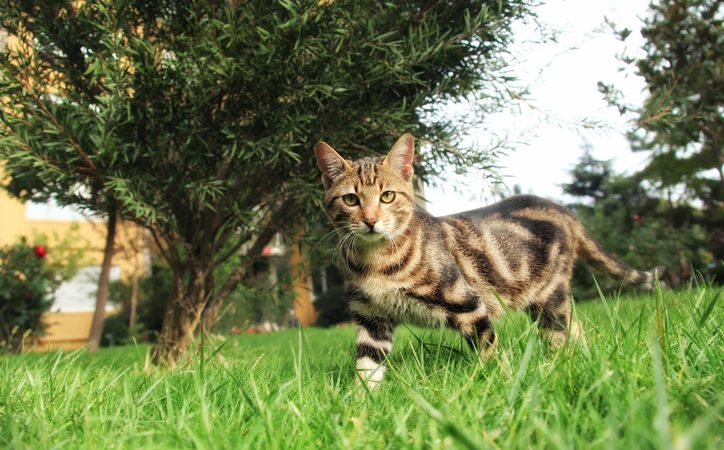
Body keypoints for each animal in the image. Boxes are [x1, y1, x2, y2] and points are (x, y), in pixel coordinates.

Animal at [314, 133, 664, 386]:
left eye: (387, 196)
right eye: (351, 199)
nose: (371, 221)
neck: (376, 261)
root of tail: (564, 211)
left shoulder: (469, 305)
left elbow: (490, 351)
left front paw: (499, 384)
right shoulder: (371, 319)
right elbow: (366, 370)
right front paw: (359, 412)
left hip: (550, 299)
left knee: (560, 337)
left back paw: (556, 367)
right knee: (576, 330)